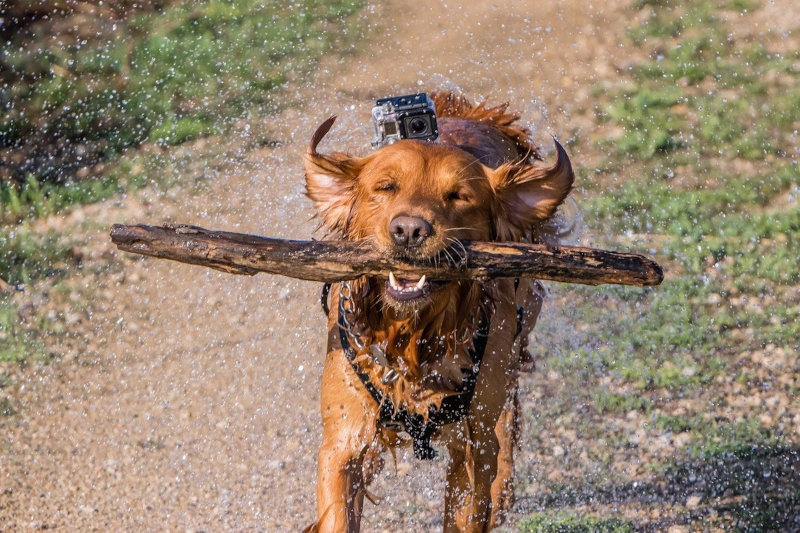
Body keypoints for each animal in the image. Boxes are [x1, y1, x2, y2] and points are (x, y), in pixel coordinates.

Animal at [304, 92, 572, 532]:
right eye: (385, 187)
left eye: (458, 196)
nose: (409, 230)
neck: (413, 337)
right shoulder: (343, 441)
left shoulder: (470, 447)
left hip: (510, 352)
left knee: (507, 418)